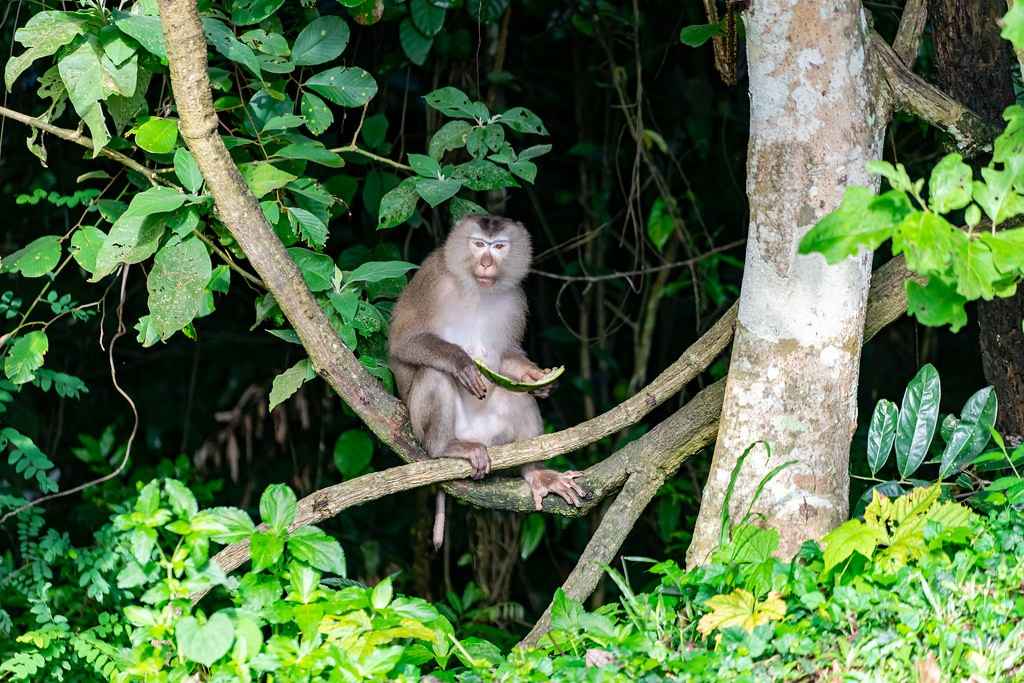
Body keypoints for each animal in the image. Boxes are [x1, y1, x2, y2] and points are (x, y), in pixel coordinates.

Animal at [387, 214, 589, 548]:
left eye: (498, 247)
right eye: (479, 244)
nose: (485, 263)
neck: (478, 289)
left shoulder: (516, 299)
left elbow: (507, 355)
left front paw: (538, 377)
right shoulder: (432, 277)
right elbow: (403, 342)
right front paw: (462, 362)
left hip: (494, 436)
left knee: (516, 395)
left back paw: (535, 473)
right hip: (426, 427)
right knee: (434, 373)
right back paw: (444, 446)